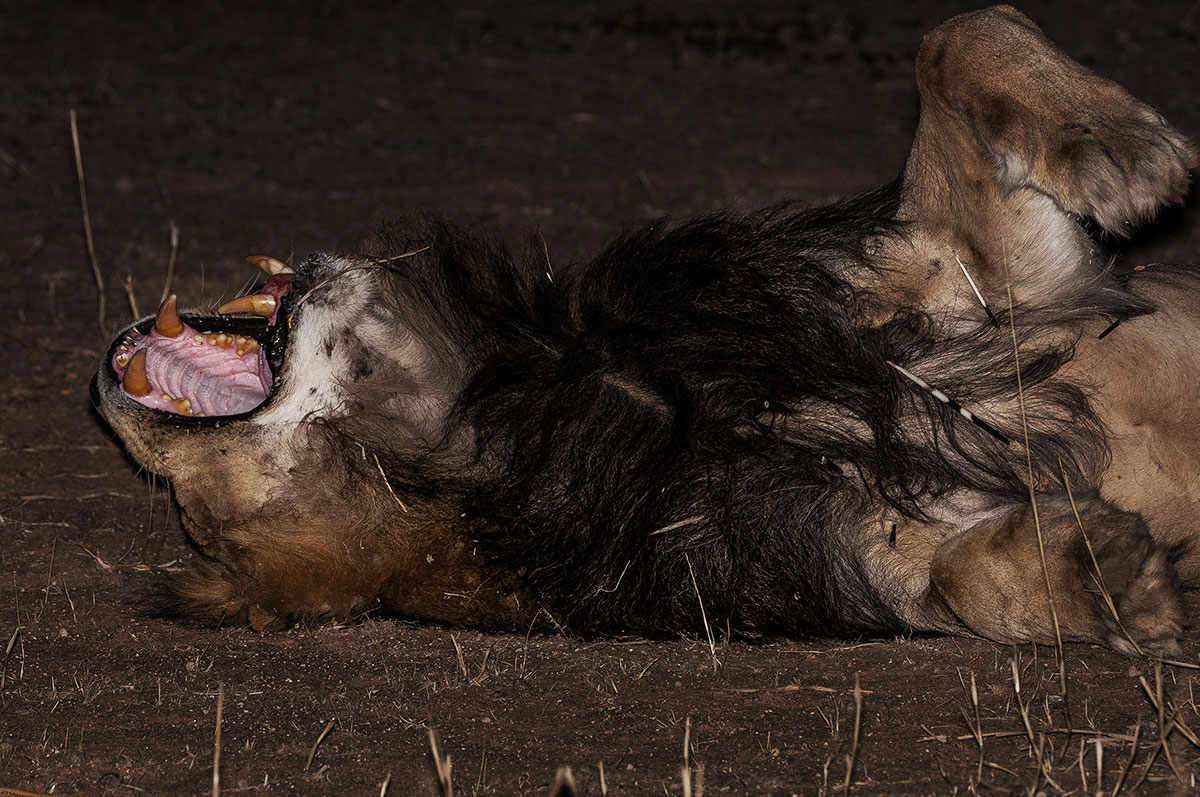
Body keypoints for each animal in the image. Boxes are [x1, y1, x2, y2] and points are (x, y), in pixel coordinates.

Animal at [93, 7, 1200, 652]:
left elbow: (956, 38)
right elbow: (967, 576)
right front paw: (1107, 575)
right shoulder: (845, 550)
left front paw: (1121, 148)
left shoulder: (982, 282)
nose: (104, 392)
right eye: (194, 507)